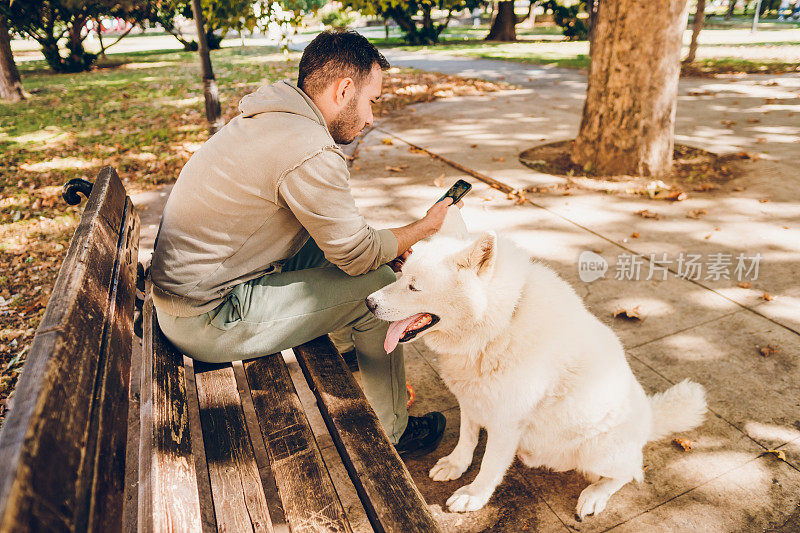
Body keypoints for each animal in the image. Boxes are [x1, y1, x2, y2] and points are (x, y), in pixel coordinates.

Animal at [368, 231, 708, 516]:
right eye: (402, 275)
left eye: (414, 286)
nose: (369, 303)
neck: (499, 326)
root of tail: (649, 419)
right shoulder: (472, 400)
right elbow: (467, 438)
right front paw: (455, 465)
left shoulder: (507, 421)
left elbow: (490, 465)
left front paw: (473, 495)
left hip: (597, 450)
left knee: (630, 472)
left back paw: (594, 496)